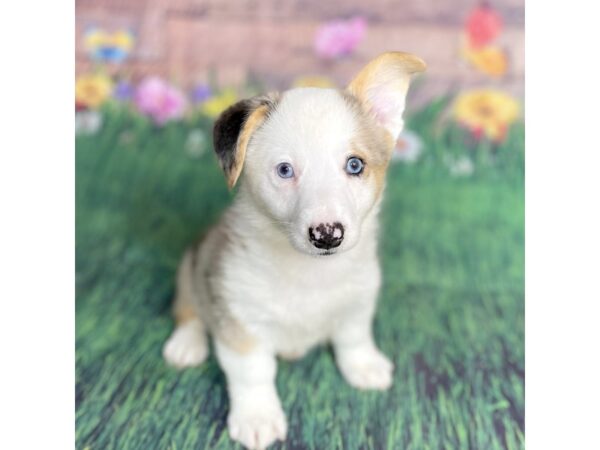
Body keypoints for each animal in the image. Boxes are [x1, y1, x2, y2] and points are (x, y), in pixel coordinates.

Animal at [164, 53, 426, 450]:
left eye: (355, 165)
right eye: (285, 170)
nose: (327, 236)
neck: (310, 274)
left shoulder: (358, 301)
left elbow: (353, 337)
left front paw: (363, 366)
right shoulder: (241, 321)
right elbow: (254, 372)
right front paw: (258, 417)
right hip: (191, 267)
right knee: (188, 310)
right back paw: (186, 345)